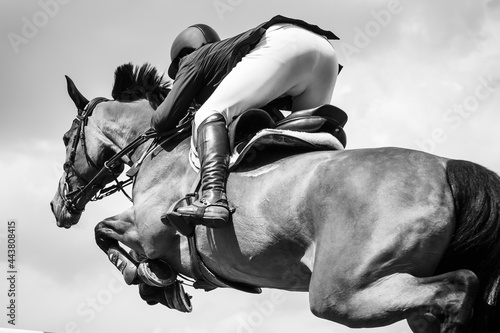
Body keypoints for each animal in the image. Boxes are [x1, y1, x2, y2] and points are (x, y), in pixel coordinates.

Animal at [49, 63, 500, 330]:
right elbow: (104, 232)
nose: (57, 207)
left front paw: (150, 280)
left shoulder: (150, 232)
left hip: (342, 294)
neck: (161, 146)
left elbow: (104, 232)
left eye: (67, 139)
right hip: (397, 297)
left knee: (459, 286)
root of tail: (448, 167)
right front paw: (155, 281)